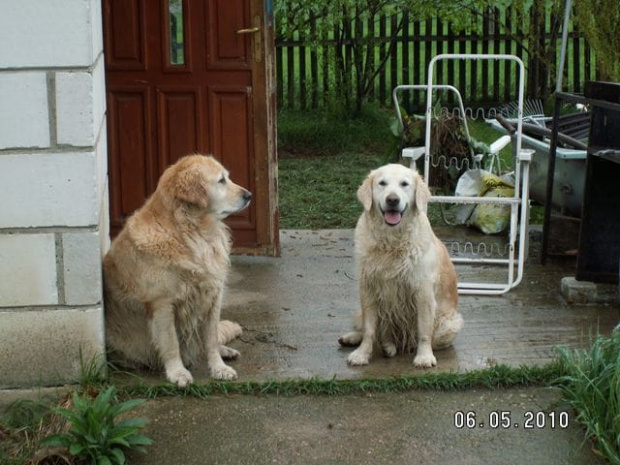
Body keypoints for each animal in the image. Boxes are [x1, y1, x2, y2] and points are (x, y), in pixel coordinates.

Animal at [103, 152, 251, 384]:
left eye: (227, 177)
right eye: (221, 180)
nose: (249, 195)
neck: (193, 233)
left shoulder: (213, 296)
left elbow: (210, 339)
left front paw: (219, 368)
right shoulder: (162, 303)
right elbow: (170, 342)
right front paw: (177, 372)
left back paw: (225, 350)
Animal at [336, 163, 462, 366]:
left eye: (404, 184)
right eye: (382, 183)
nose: (392, 200)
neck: (391, 241)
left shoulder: (423, 291)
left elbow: (424, 331)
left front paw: (424, 357)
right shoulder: (368, 288)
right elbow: (369, 329)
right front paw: (362, 354)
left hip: (450, 323)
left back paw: (391, 346)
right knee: (373, 330)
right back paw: (359, 339)